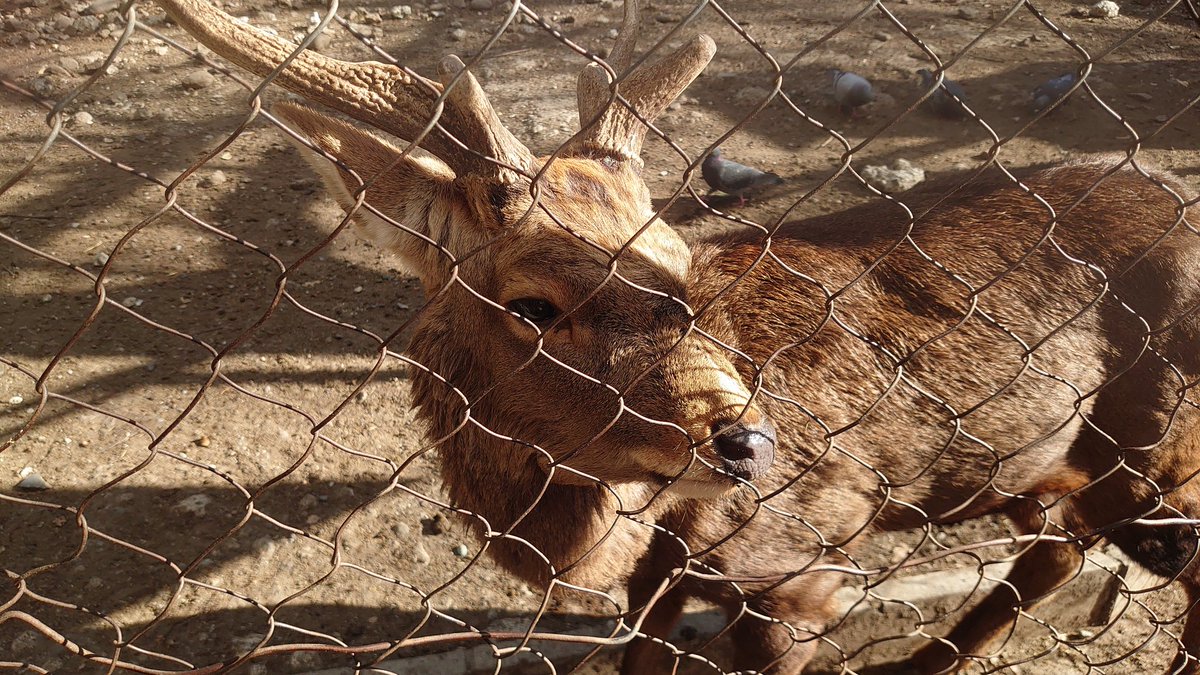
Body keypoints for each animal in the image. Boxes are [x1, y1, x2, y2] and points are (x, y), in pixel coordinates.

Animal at [153, 0, 1200, 672]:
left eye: (674, 260)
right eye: (532, 303)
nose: (747, 442)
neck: (640, 530)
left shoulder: (811, 565)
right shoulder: (654, 590)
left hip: (1163, 449)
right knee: (1062, 546)